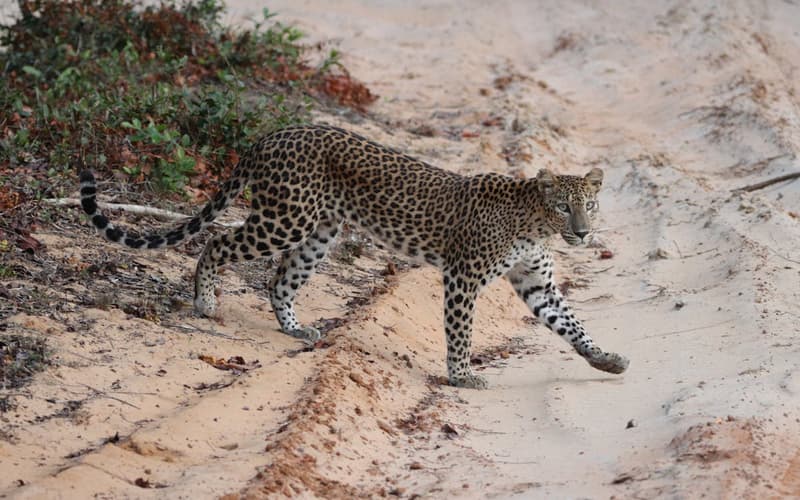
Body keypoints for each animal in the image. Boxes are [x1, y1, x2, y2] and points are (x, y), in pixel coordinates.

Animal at [79, 124, 629, 389]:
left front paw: (604, 359)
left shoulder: (537, 282)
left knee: (280, 278)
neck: (535, 224)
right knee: (218, 243)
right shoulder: (463, 276)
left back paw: (295, 328)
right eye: (563, 207)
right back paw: (206, 302)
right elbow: (461, 331)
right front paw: (462, 376)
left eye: (589, 205)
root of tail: (272, 134)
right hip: (285, 218)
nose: (582, 234)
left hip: (320, 231)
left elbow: (570, 323)